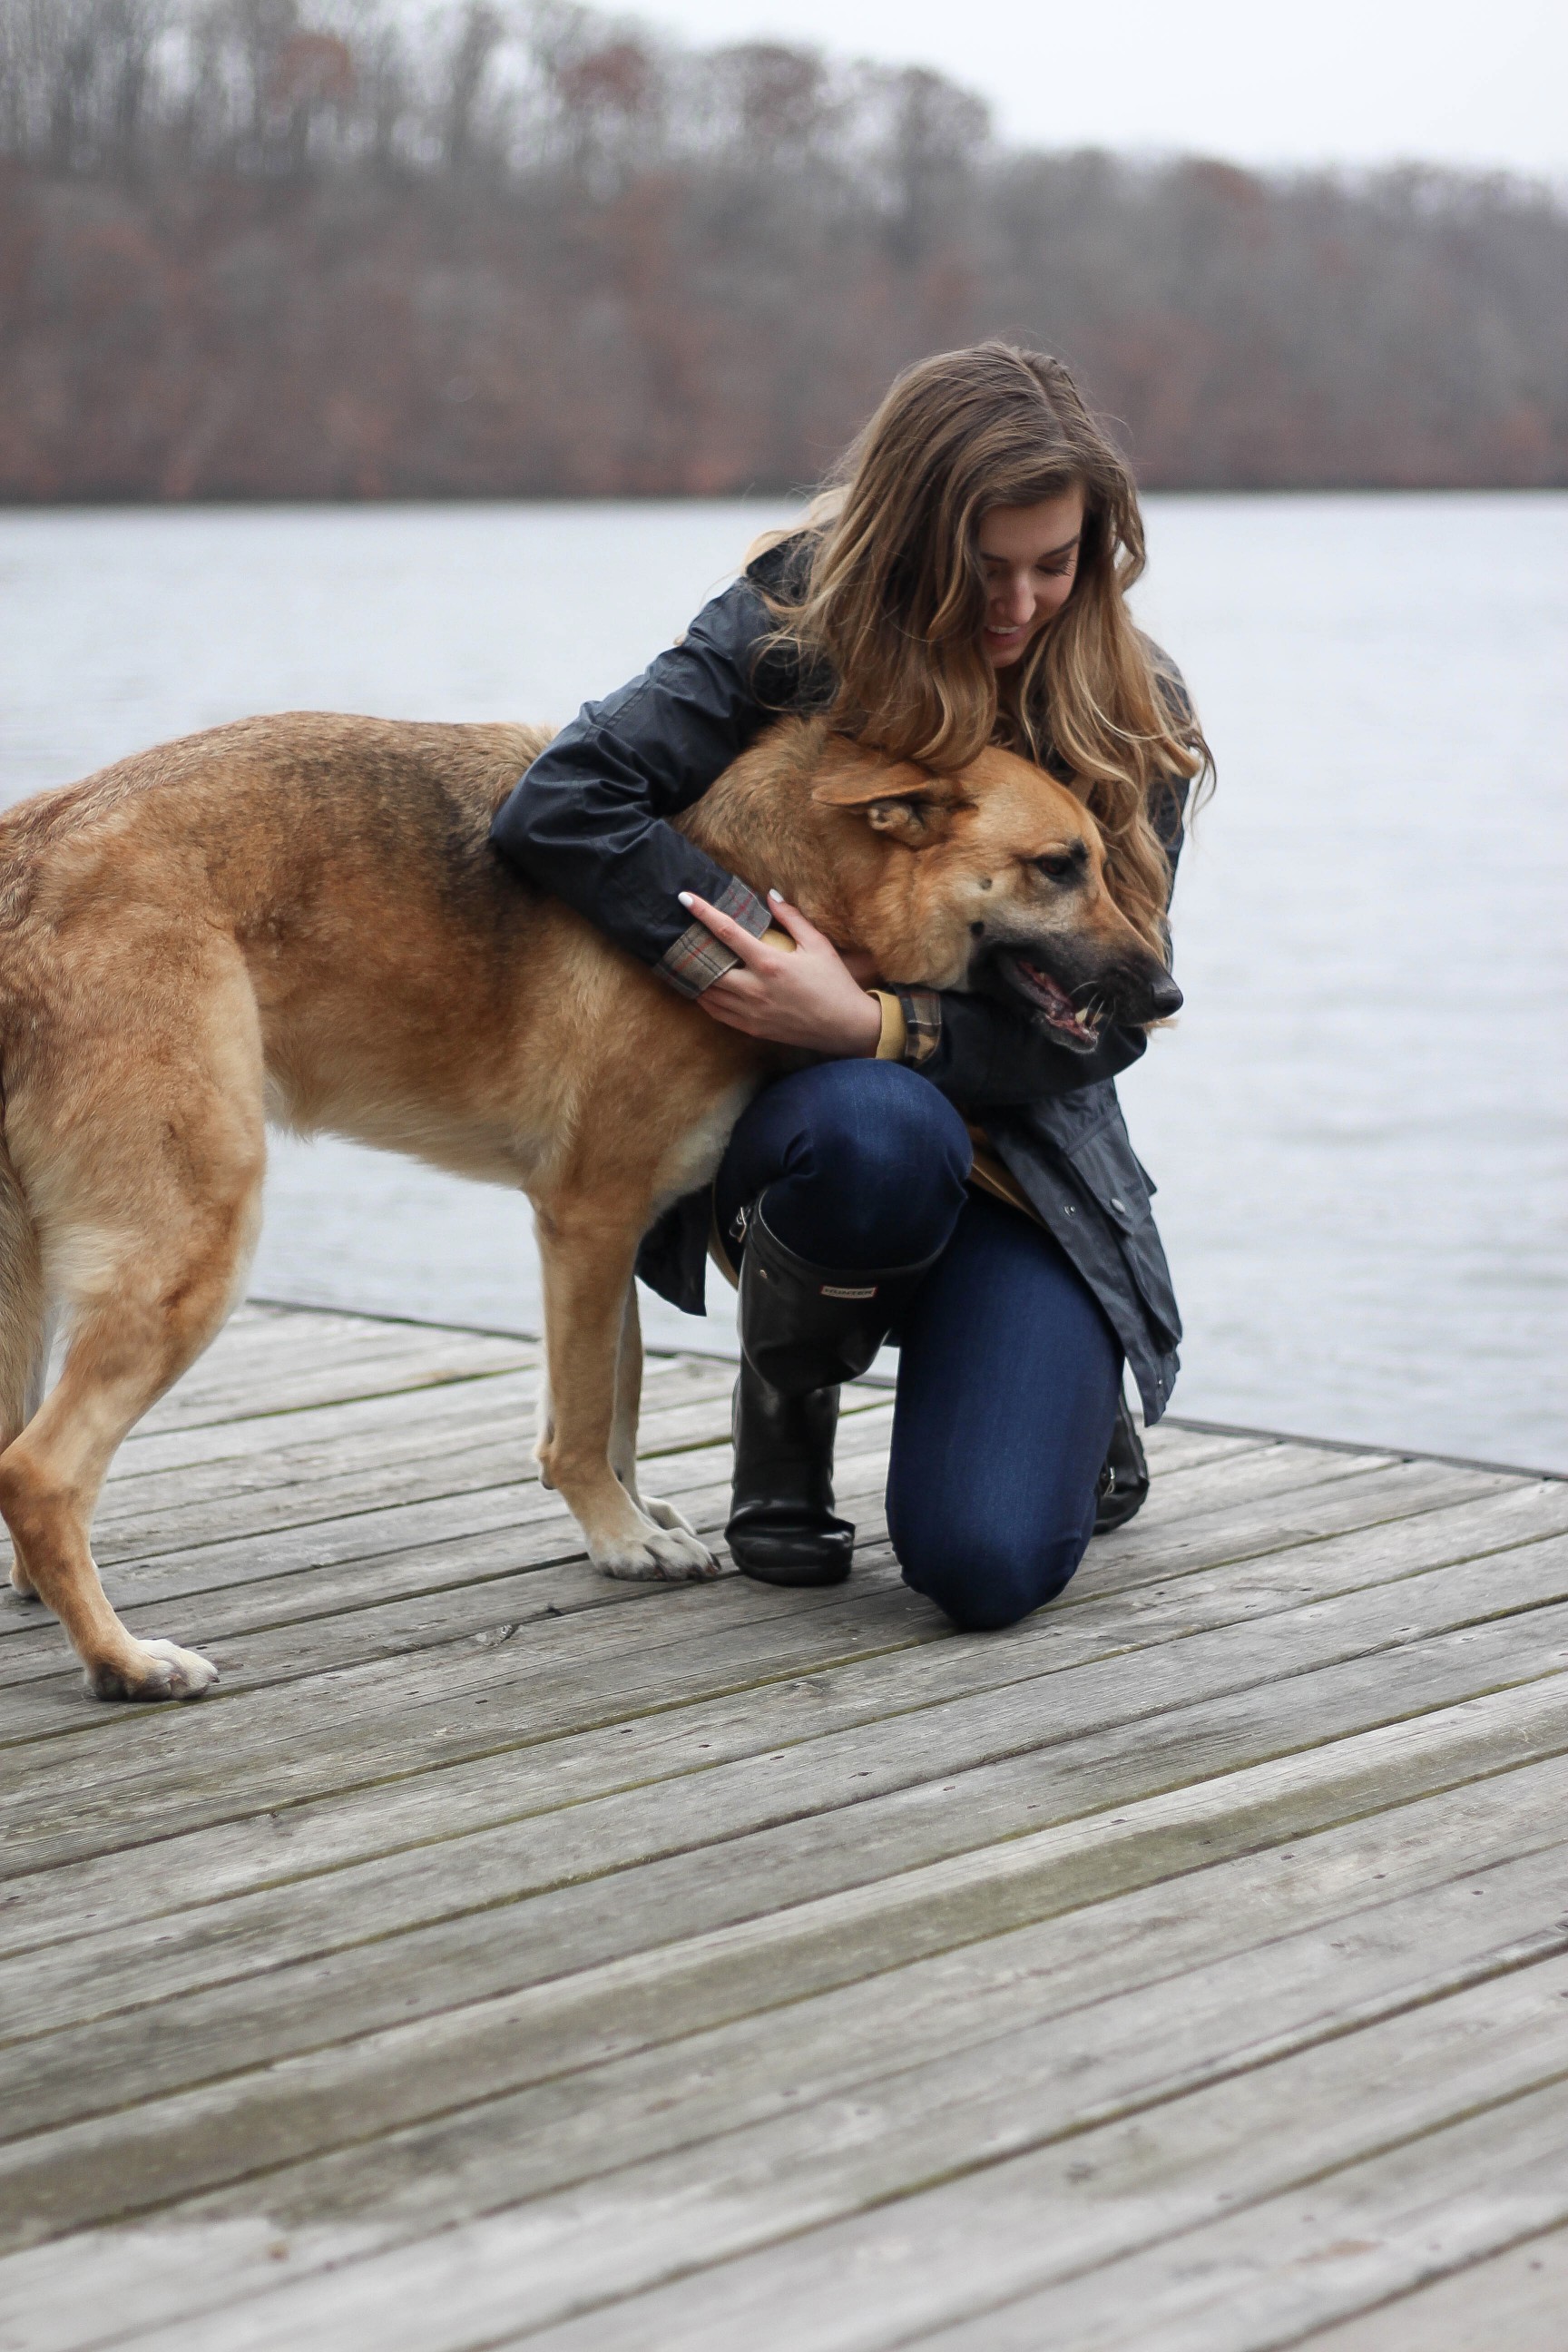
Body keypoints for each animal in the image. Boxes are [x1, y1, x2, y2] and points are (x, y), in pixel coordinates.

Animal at [0, 705, 1175, 1702]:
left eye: (1100, 860)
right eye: (1059, 867)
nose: (1164, 998)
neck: (761, 874)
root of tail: (34, 852)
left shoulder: (610, 1230)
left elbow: (618, 1396)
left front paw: (633, 1512)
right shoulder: (590, 1214)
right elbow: (584, 1415)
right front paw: (618, 1539)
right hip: (190, 1245)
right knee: (41, 1472)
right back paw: (124, 1663)